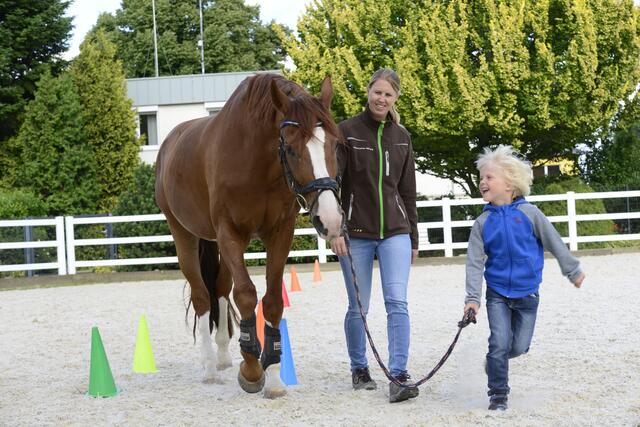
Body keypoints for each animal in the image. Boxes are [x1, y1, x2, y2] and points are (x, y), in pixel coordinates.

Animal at [155, 73, 343, 398]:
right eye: (291, 149)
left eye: (333, 145)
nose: (330, 219)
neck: (257, 163)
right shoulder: (230, 233)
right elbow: (245, 295)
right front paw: (253, 370)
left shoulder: (280, 233)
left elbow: (272, 300)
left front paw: (275, 374)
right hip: (184, 235)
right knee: (202, 296)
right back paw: (209, 367)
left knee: (219, 288)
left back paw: (222, 356)